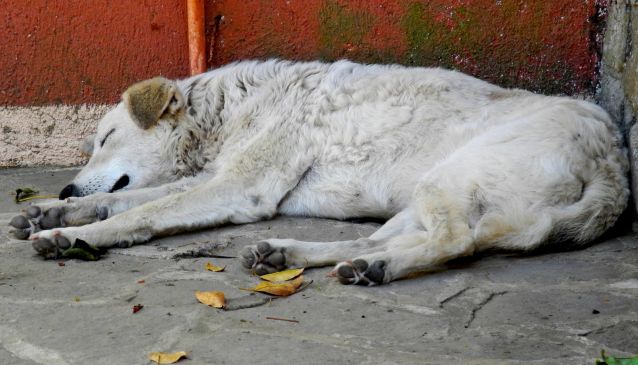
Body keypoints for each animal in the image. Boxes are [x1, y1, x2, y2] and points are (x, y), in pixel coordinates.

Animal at [8, 60, 632, 284]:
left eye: (106, 138)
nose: (64, 182)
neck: (229, 111)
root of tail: (615, 162)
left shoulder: (239, 187)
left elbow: (141, 212)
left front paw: (78, 234)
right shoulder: (218, 180)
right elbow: (126, 200)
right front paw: (54, 211)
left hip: (450, 179)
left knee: (455, 242)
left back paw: (378, 269)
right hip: (427, 195)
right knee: (387, 239)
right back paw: (297, 255)